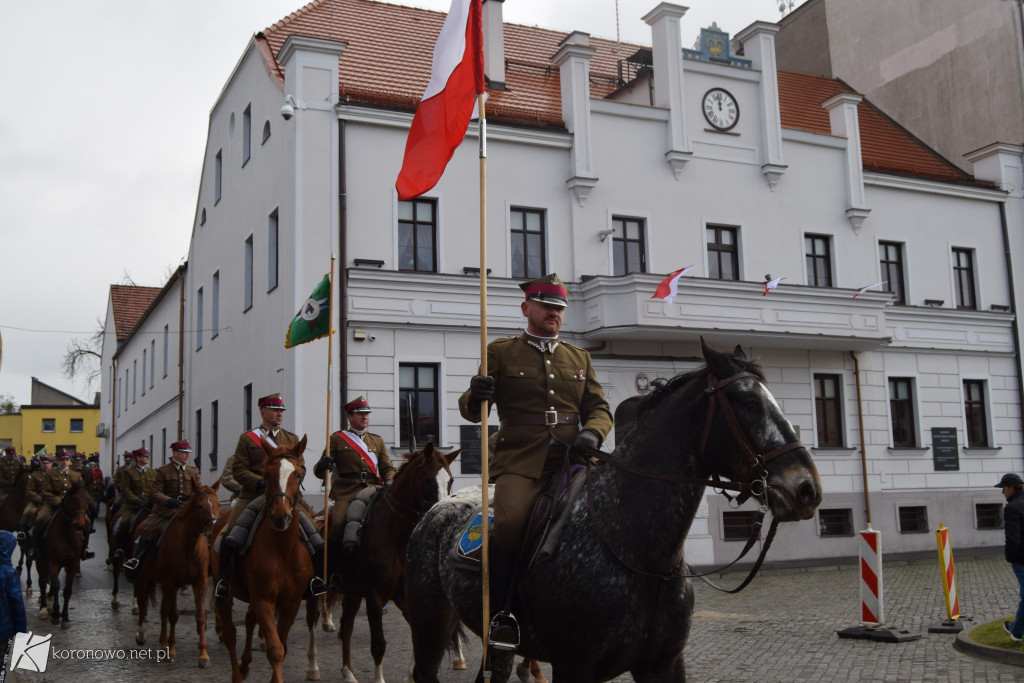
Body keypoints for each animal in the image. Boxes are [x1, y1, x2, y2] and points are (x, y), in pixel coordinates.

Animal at [34, 483, 92, 626]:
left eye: (88, 500)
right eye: (74, 499)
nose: (79, 525)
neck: (67, 535)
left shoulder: (73, 564)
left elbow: (67, 590)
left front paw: (65, 616)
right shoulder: (53, 562)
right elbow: (55, 586)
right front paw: (56, 614)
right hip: (40, 561)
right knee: (43, 582)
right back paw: (44, 608)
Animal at [132, 481, 220, 667]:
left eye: (216, 504)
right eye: (200, 506)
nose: (211, 534)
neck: (188, 545)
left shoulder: (200, 582)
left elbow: (200, 616)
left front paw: (203, 656)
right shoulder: (172, 584)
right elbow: (173, 615)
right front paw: (172, 651)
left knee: (162, 609)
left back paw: (162, 643)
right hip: (143, 577)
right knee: (142, 603)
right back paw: (142, 635)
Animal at [331, 440, 460, 679]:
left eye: (450, 480)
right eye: (428, 480)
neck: (396, 537)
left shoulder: (404, 595)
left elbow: (418, 638)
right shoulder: (374, 597)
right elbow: (378, 645)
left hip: (352, 592)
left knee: (346, 627)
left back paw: (348, 673)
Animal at [405, 342, 823, 683]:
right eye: (749, 403)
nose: (807, 489)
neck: (642, 553)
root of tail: (436, 510)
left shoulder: (664, 665)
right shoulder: (575, 665)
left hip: (497, 650)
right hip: (429, 626)